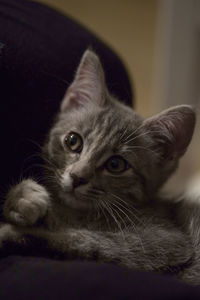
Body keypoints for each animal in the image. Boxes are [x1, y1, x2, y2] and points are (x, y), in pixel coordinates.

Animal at [0, 49, 199, 284]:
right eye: (73, 141)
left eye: (116, 164)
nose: (77, 177)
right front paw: (22, 197)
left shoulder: (164, 243)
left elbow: (83, 240)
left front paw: (14, 231)